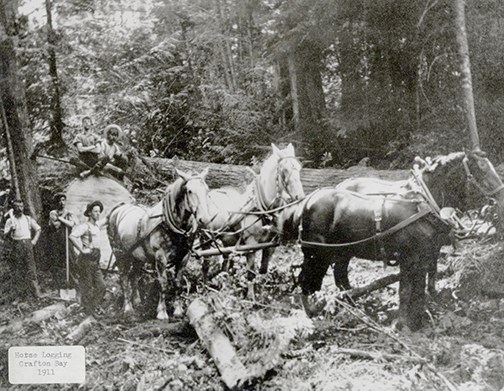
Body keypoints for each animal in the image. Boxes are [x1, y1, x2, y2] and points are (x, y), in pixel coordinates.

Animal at [107, 168, 210, 318]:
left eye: (207, 190)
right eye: (190, 191)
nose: (204, 219)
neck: (169, 223)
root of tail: (118, 208)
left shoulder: (184, 257)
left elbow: (178, 283)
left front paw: (178, 310)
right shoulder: (161, 257)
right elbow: (163, 283)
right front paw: (162, 312)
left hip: (138, 256)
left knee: (134, 275)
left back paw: (137, 301)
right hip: (120, 253)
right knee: (124, 277)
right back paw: (128, 307)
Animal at [203, 144, 306, 284]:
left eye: (298, 168)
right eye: (284, 170)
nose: (300, 196)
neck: (263, 210)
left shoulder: (270, 247)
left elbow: (263, 271)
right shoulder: (250, 246)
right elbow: (251, 275)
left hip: (227, 240)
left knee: (225, 259)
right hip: (206, 238)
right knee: (205, 263)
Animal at [280, 150, 504, 330]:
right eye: (482, 170)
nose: (500, 201)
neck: (421, 205)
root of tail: (307, 201)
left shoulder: (426, 255)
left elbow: (421, 288)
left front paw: (419, 320)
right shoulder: (408, 257)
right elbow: (405, 290)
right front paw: (402, 324)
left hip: (343, 251)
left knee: (340, 276)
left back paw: (354, 307)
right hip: (317, 253)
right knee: (307, 280)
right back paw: (312, 313)